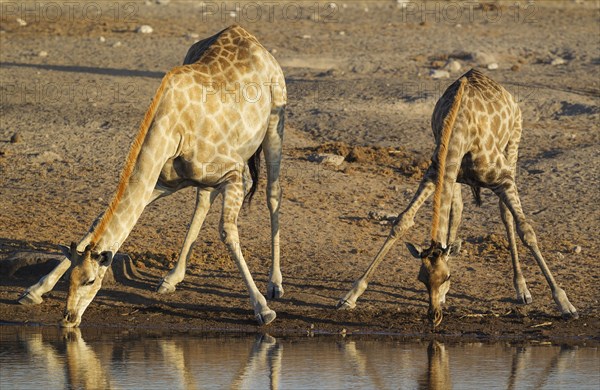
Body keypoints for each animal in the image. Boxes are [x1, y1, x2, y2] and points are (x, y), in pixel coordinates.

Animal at [338, 69, 576, 326]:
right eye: (421, 279)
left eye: (446, 276)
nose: (434, 316)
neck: (460, 129)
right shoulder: (435, 173)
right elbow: (402, 221)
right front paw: (350, 296)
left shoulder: (503, 178)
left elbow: (526, 230)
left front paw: (564, 303)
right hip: (455, 177)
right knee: (457, 210)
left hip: (513, 143)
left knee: (506, 215)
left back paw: (522, 290)